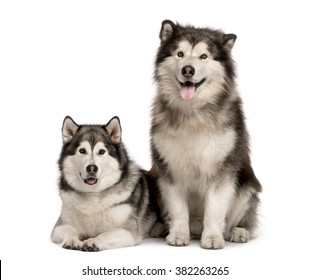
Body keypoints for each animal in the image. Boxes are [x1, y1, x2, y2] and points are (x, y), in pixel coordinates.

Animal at [50, 116, 160, 252]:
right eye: (82, 150)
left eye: (101, 151)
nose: (92, 168)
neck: (93, 195)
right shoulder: (59, 226)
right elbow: (69, 230)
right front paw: (72, 240)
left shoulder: (128, 231)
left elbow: (105, 234)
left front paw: (93, 241)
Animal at [150, 20, 262, 249]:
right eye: (180, 53)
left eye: (203, 56)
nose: (188, 70)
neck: (193, 113)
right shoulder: (169, 168)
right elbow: (178, 209)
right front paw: (178, 234)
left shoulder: (223, 169)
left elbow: (215, 209)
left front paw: (212, 237)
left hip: (247, 186)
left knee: (240, 218)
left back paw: (238, 231)